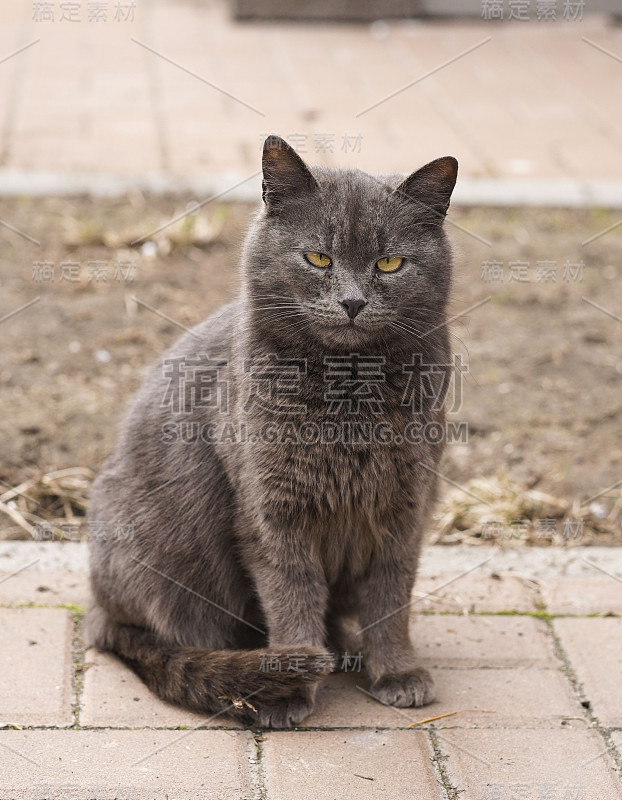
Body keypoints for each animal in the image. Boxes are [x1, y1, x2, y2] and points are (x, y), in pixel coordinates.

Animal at [86, 134, 458, 728]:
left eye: (390, 262)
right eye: (317, 257)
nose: (352, 301)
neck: (348, 389)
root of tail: (98, 611)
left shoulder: (407, 504)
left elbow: (391, 597)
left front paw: (397, 672)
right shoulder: (272, 509)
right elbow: (292, 596)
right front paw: (291, 682)